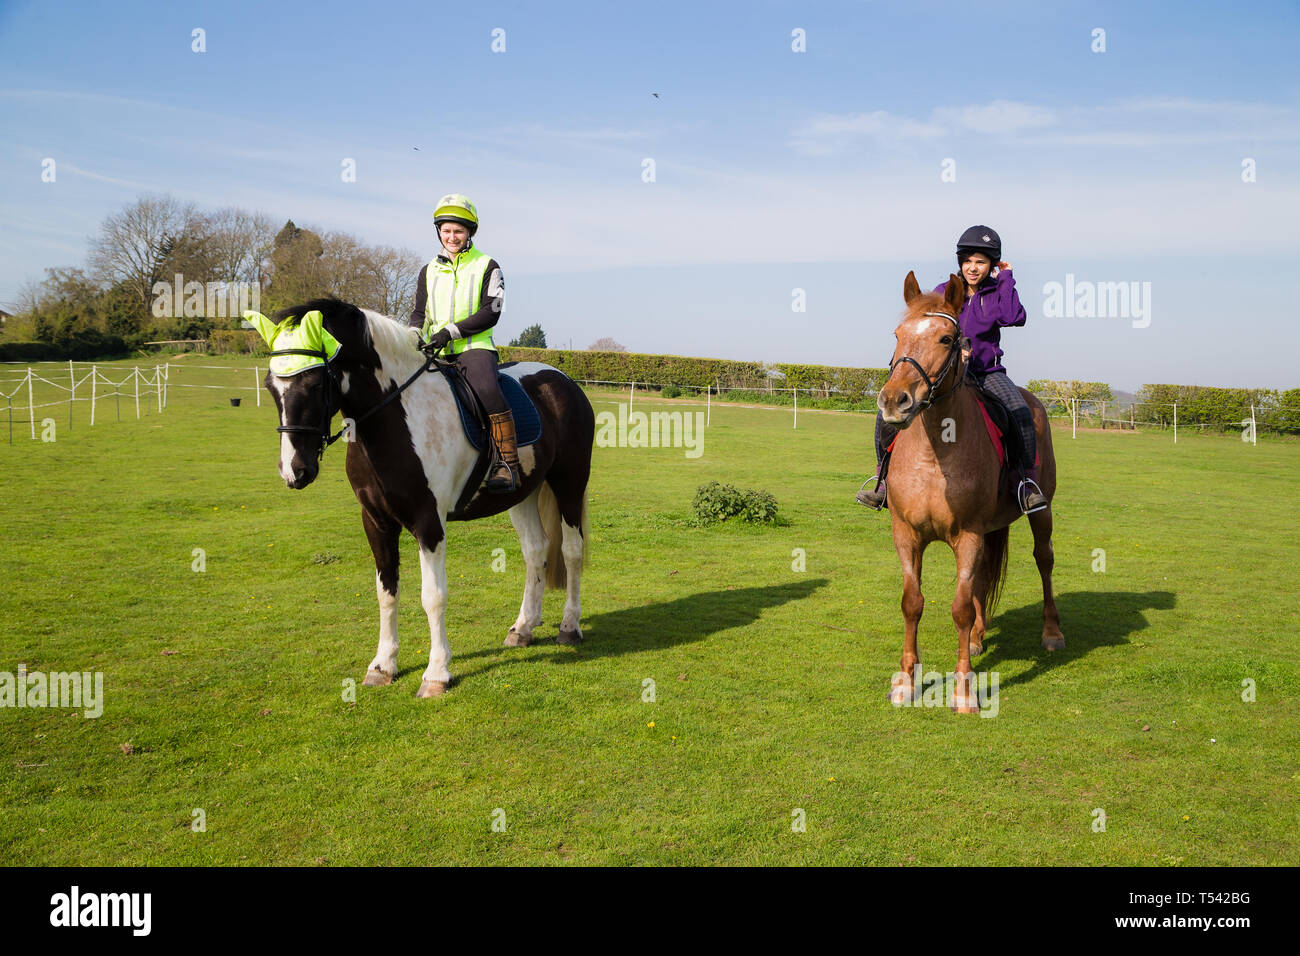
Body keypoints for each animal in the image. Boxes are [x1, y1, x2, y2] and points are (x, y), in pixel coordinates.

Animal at [262, 297, 595, 697]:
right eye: (270, 386)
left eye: (313, 384)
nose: (294, 471)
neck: (395, 416)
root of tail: (562, 380)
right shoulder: (376, 521)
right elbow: (386, 592)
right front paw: (383, 665)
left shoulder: (428, 523)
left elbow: (433, 597)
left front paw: (436, 674)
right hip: (523, 494)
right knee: (536, 550)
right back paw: (524, 627)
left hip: (569, 483)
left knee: (571, 551)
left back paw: (569, 627)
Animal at [878, 273, 1060, 712]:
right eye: (898, 335)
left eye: (946, 338)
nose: (893, 401)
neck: (934, 454)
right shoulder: (906, 534)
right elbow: (912, 603)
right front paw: (906, 682)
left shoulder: (969, 535)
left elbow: (959, 608)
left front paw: (964, 691)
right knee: (980, 583)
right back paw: (977, 639)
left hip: (1040, 511)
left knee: (1044, 560)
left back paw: (1051, 633)